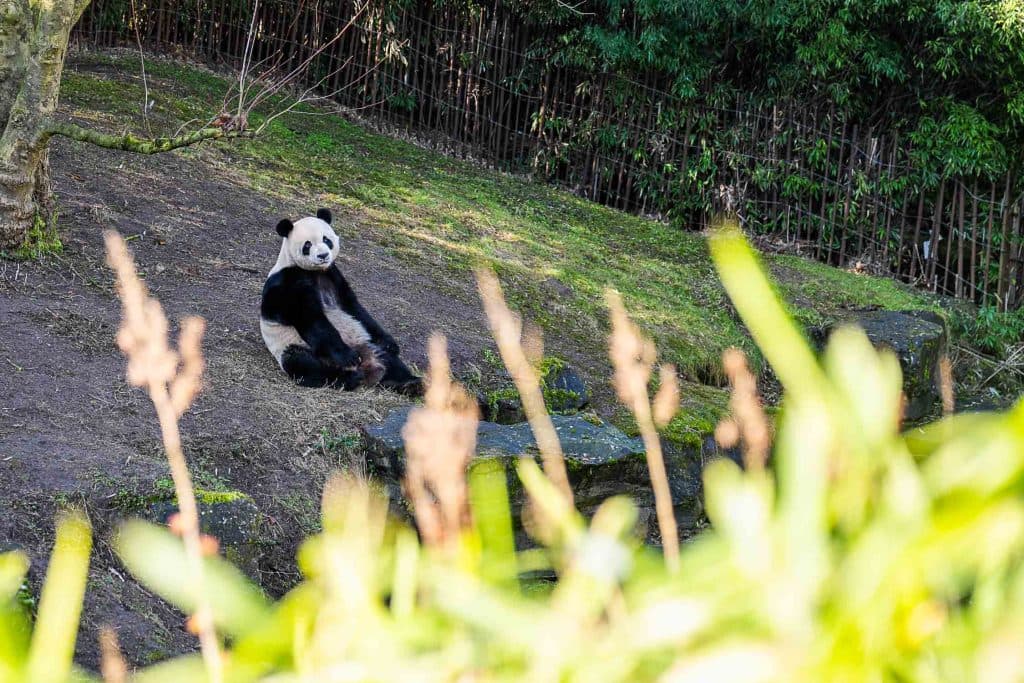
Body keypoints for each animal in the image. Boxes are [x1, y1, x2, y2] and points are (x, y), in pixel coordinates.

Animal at [260, 208, 423, 396]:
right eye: (308, 245)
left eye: (326, 239)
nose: (323, 255)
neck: (315, 272)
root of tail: (367, 367)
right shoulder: (287, 283)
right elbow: (311, 319)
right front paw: (347, 356)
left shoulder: (334, 276)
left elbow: (354, 308)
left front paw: (390, 343)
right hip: (295, 346)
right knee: (303, 363)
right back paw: (349, 377)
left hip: (366, 344)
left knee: (390, 360)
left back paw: (409, 383)